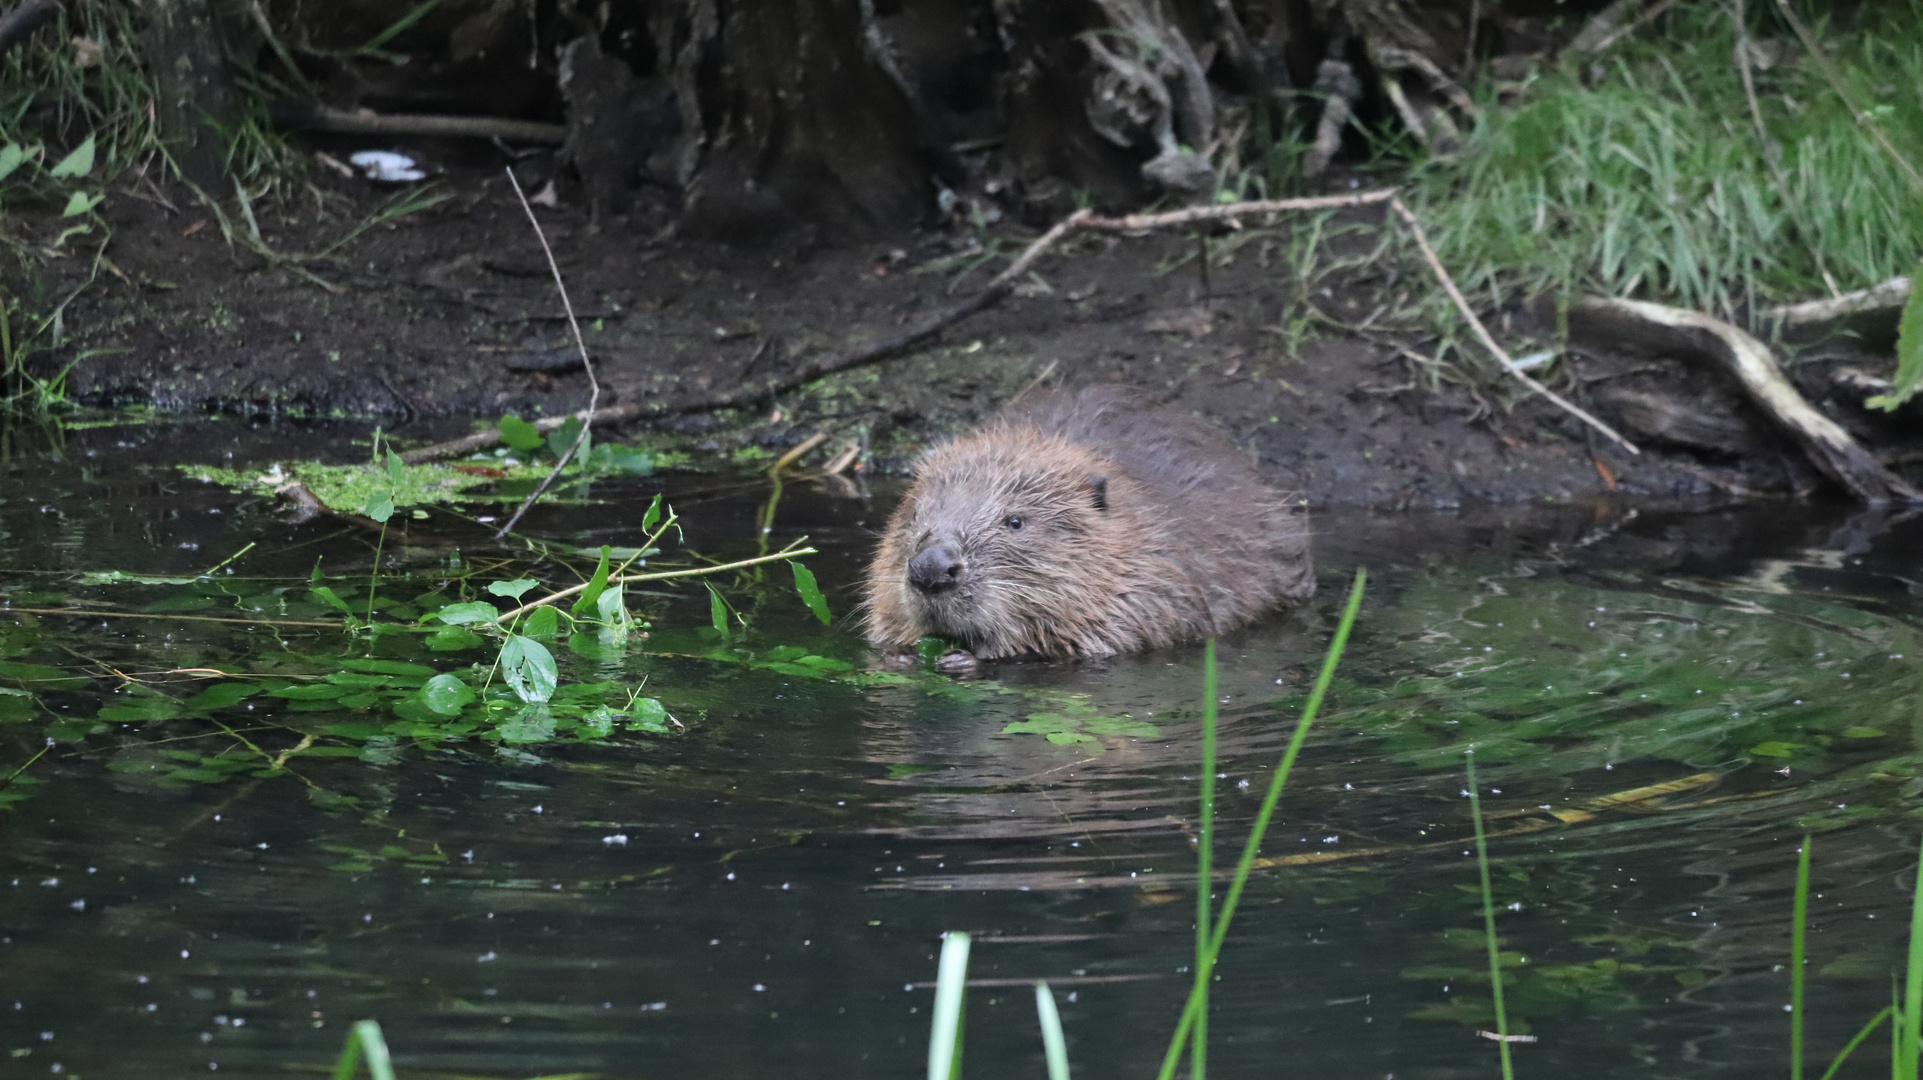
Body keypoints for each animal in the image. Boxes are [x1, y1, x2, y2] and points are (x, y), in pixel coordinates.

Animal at [865, 382, 1315, 661]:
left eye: (1016, 522)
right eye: (916, 514)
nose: (931, 569)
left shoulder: (1154, 576)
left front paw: (971, 657)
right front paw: (902, 656)